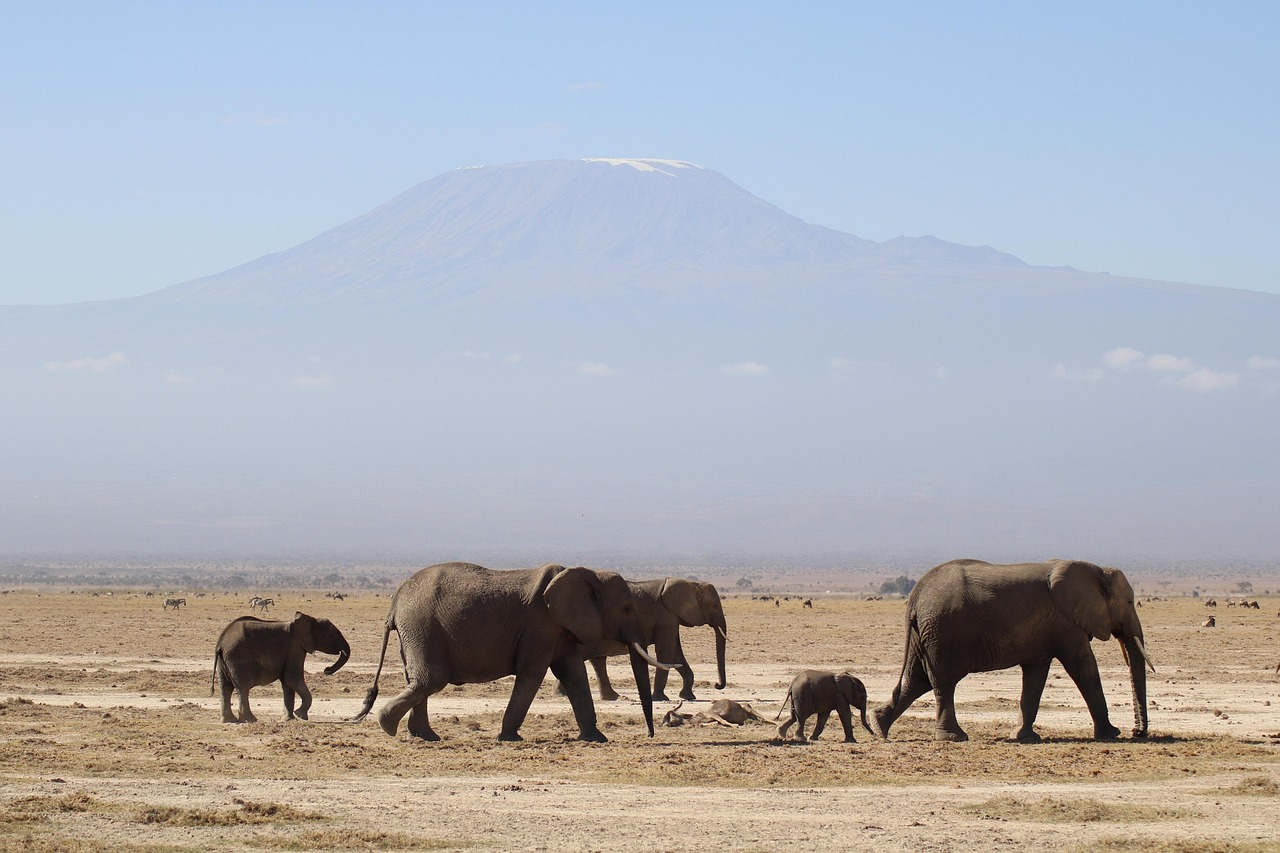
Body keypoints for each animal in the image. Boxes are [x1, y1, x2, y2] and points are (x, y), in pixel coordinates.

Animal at [212, 607, 350, 722]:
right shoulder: (295, 648)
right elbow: (292, 678)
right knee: (243, 688)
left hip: (224, 661)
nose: (326, 669)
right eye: (331, 635)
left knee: (225, 688)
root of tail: (221, 643)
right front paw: (300, 715)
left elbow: (287, 683)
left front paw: (288, 719)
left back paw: (229, 720)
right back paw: (250, 720)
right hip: (238, 658)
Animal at [350, 558, 670, 737]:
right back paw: (389, 727)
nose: (650, 735)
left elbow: (573, 674)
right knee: (431, 679)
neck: (588, 572)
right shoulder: (541, 624)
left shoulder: (559, 628)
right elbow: (533, 674)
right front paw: (508, 737)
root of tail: (395, 600)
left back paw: (425, 737)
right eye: (627, 608)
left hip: (416, 631)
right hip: (422, 626)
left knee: (418, 679)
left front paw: (596, 738)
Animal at [583, 573, 732, 701]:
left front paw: (688, 697)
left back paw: (612, 697)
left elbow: (676, 653)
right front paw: (660, 698)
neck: (692, 584)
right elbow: (666, 651)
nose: (717, 685)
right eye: (715, 605)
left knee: (598, 660)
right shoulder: (666, 615)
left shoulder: (671, 617)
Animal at [875, 555, 1157, 742]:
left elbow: (1035, 675)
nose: (1138, 732)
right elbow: (1084, 667)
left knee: (917, 680)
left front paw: (1023, 737)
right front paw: (1111, 735)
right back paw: (954, 737)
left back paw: (879, 726)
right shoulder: (1066, 623)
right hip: (943, 633)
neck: (1097, 570)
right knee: (943, 682)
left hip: (925, 634)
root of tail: (915, 596)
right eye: (1129, 602)